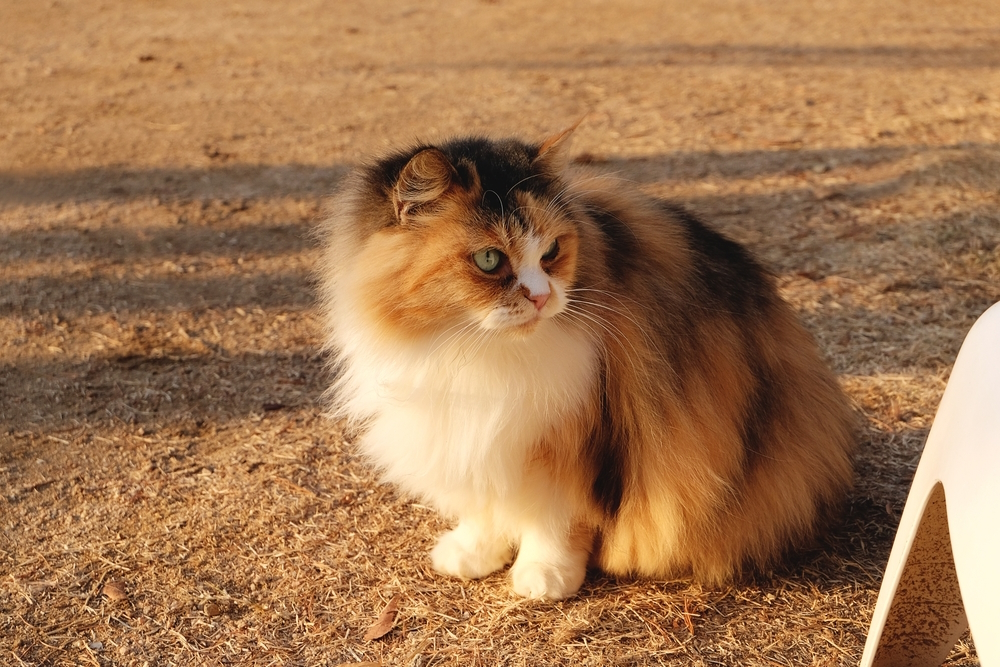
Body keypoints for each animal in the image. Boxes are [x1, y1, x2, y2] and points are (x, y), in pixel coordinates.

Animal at [316, 129, 856, 600]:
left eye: (552, 251)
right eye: (490, 260)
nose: (540, 297)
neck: (471, 353)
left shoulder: (573, 435)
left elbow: (557, 519)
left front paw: (544, 575)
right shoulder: (473, 435)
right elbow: (486, 503)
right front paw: (474, 552)